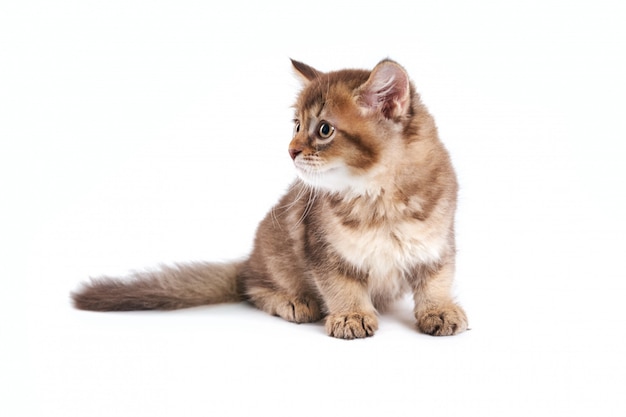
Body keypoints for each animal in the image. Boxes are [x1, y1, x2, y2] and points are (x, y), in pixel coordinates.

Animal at [70, 58, 466, 338]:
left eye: (324, 129)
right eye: (297, 126)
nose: (291, 150)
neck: (378, 198)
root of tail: (250, 259)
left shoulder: (437, 242)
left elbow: (436, 281)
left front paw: (440, 310)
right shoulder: (322, 249)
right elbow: (341, 287)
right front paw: (351, 315)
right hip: (273, 261)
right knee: (252, 286)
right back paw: (291, 301)